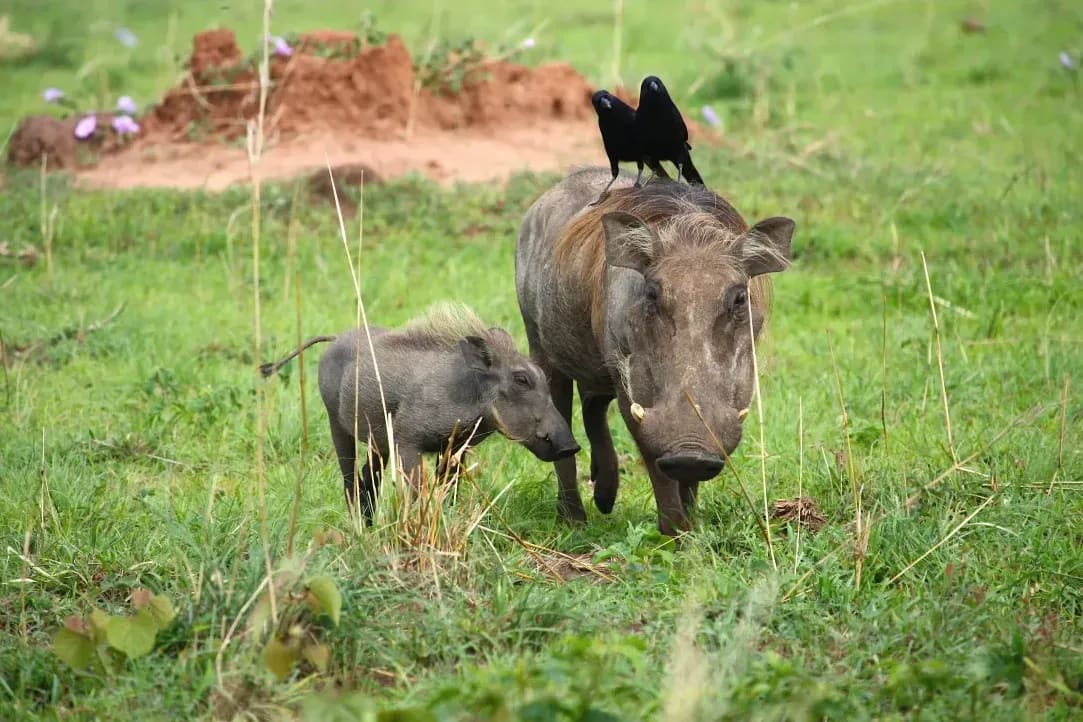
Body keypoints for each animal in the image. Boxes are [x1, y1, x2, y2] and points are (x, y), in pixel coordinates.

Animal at [260, 303, 580, 520]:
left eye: (542, 376)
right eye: (521, 379)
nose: (571, 446)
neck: (470, 393)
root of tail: (336, 338)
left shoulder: (455, 448)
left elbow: (449, 489)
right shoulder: (407, 442)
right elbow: (418, 491)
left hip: (378, 441)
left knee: (368, 477)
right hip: (336, 424)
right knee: (349, 478)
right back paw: (358, 527)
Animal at [515, 168, 794, 536]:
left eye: (739, 298)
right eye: (651, 293)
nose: (691, 453)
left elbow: (688, 481)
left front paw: (691, 531)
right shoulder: (633, 394)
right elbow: (653, 458)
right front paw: (674, 533)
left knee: (592, 406)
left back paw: (605, 497)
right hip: (544, 351)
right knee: (563, 428)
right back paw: (574, 519)